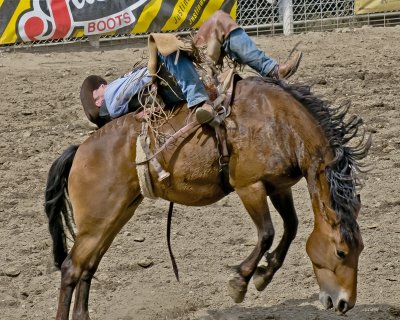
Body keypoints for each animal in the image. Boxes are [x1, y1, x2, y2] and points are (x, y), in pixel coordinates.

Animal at [45, 76, 370, 318]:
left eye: (361, 249)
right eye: (341, 252)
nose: (345, 303)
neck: (278, 124)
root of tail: (80, 150)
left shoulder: (279, 187)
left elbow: (291, 228)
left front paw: (264, 275)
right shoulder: (250, 186)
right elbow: (267, 232)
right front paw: (240, 282)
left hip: (115, 215)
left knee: (88, 267)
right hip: (97, 220)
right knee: (71, 268)